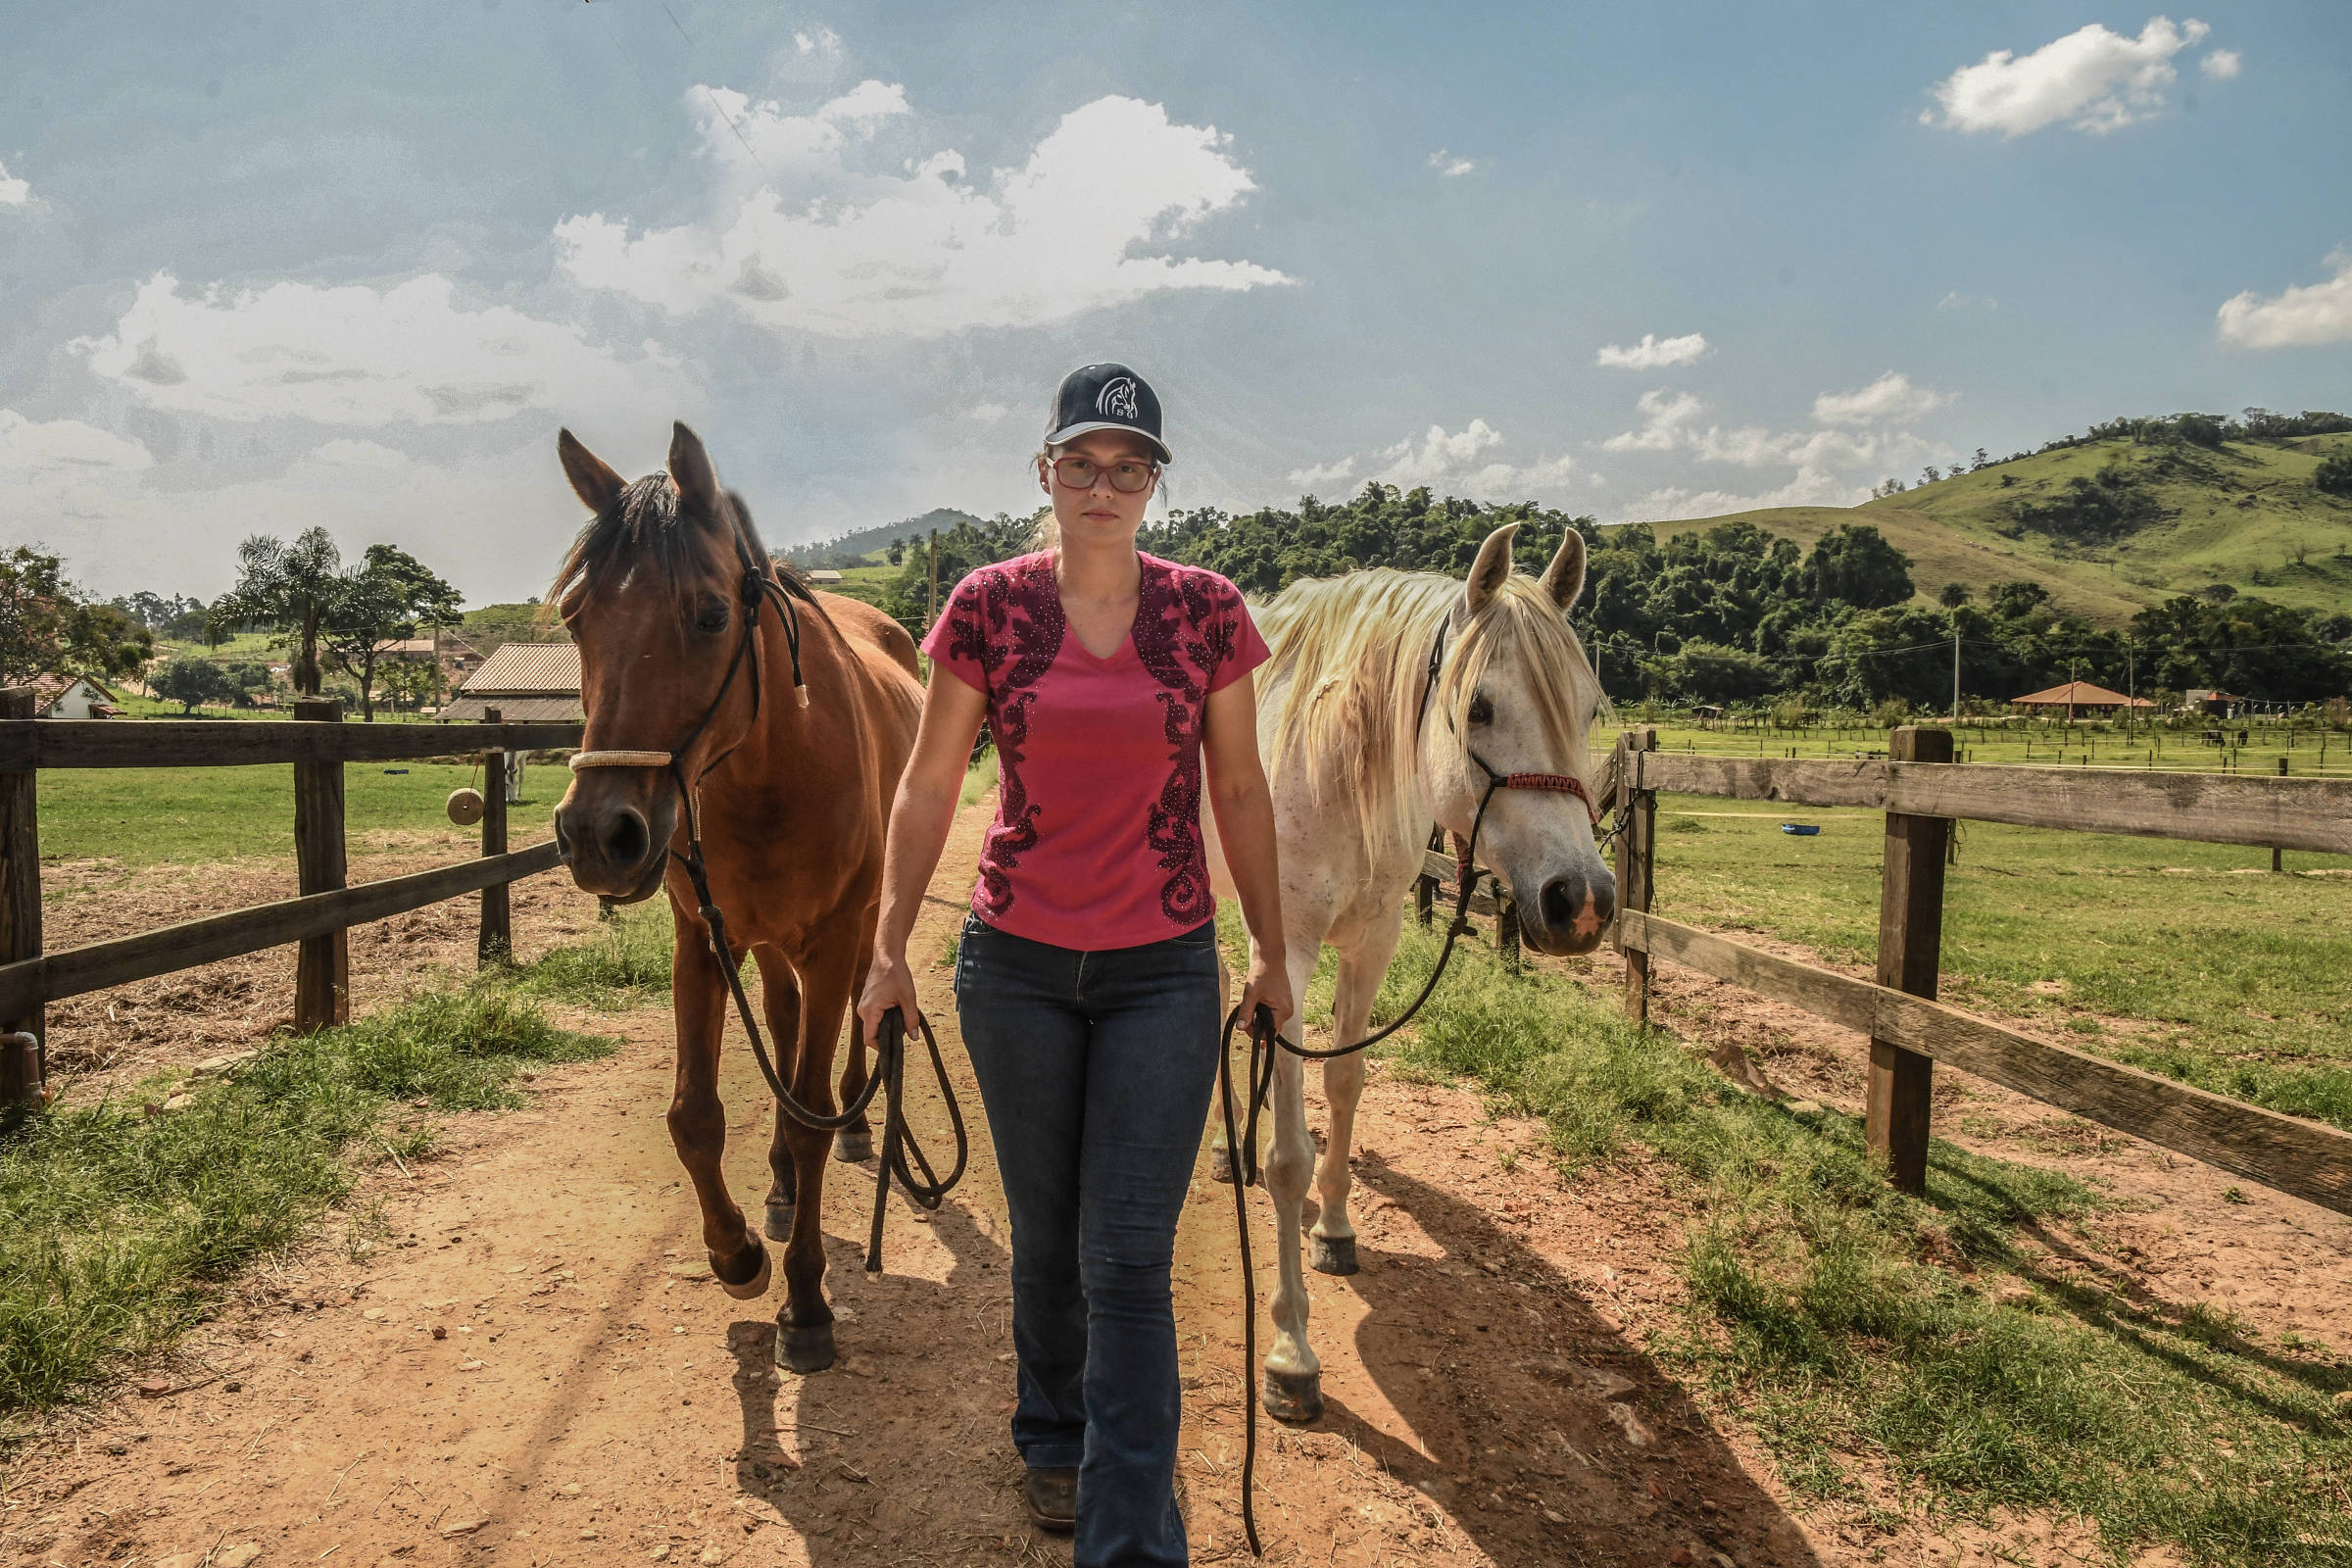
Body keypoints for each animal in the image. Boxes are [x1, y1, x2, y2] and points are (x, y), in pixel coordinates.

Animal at [548, 425, 917, 1372]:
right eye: (576, 618)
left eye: (712, 614)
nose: (599, 835)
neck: (769, 770)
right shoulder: (703, 940)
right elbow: (696, 1115)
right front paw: (739, 1251)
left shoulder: (833, 940)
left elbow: (811, 1114)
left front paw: (808, 1303)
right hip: (769, 945)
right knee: (784, 1031)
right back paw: (780, 1196)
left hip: (856, 932)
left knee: (851, 1034)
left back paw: (856, 1132)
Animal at [1213, 523, 1618, 1419]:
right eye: (1479, 707)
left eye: (1587, 709)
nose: (1581, 900)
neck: (1335, 765)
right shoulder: (1287, 953)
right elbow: (1287, 1157)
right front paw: (1290, 1352)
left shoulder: (1375, 941)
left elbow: (1345, 1084)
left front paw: (1333, 1228)